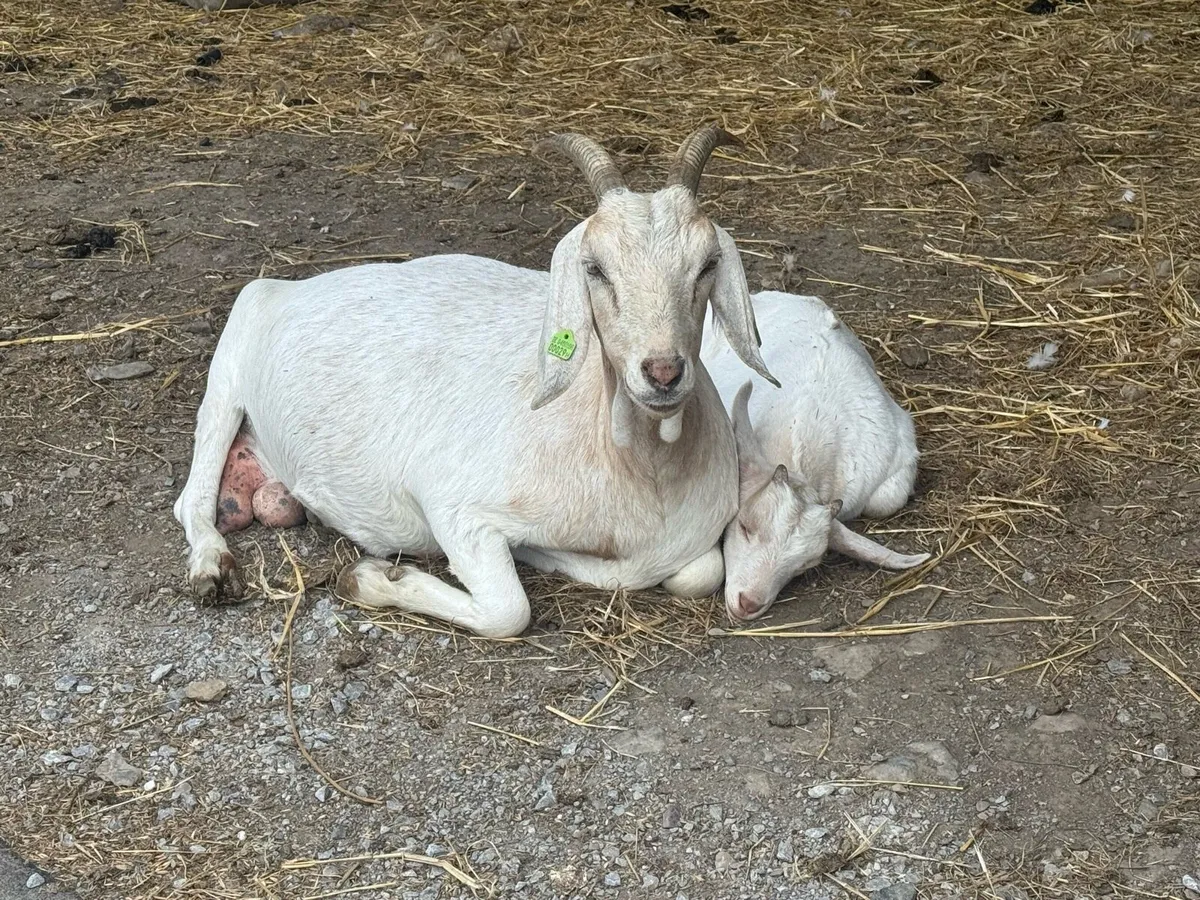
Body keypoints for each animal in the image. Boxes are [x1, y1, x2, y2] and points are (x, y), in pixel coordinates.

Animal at [173, 125, 777, 638]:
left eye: (707, 264)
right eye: (595, 268)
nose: (663, 372)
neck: (637, 471)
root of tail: (288, 286)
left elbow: (697, 572)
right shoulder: (454, 506)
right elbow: (509, 610)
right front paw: (369, 578)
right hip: (230, 365)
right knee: (192, 495)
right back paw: (212, 569)